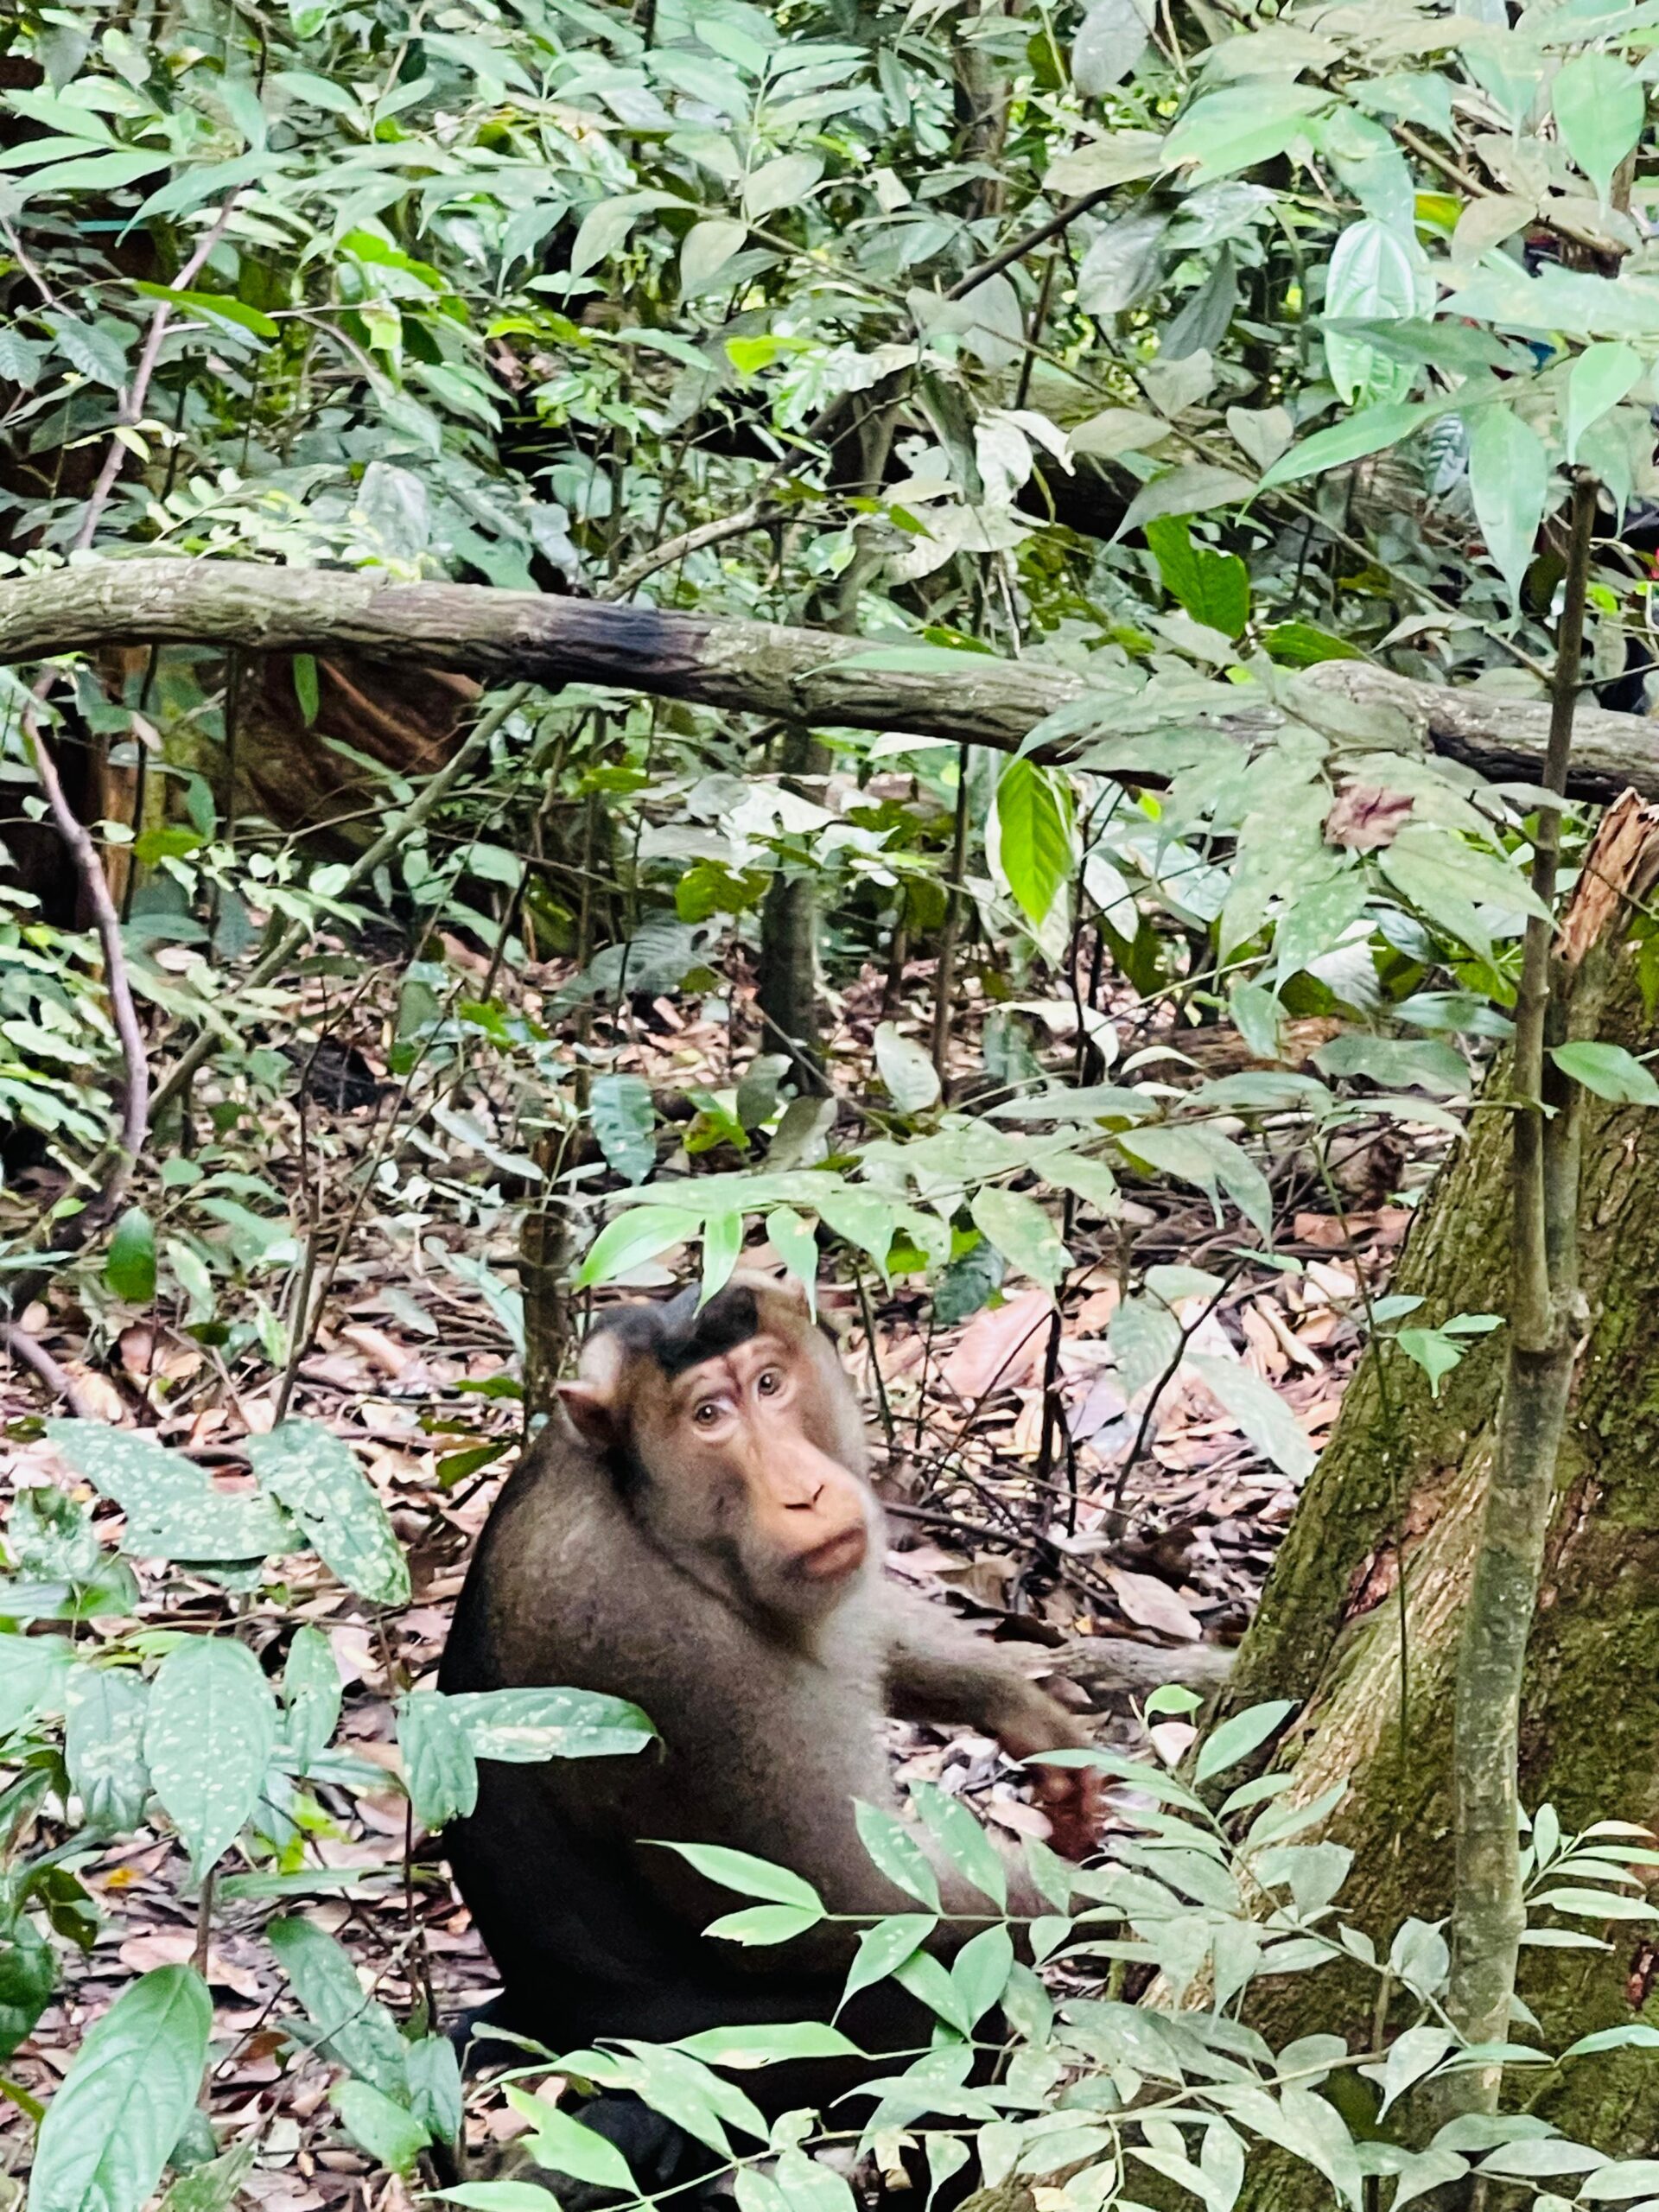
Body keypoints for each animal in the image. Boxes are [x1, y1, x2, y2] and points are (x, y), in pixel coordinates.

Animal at [437, 1272, 1101, 2178]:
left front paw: (1021, 1709)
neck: (646, 1513)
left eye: (770, 1384)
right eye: (708, 1415)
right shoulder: (677, 1660)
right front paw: (1125, 1901)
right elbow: (846, 1901)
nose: (805, 1490)